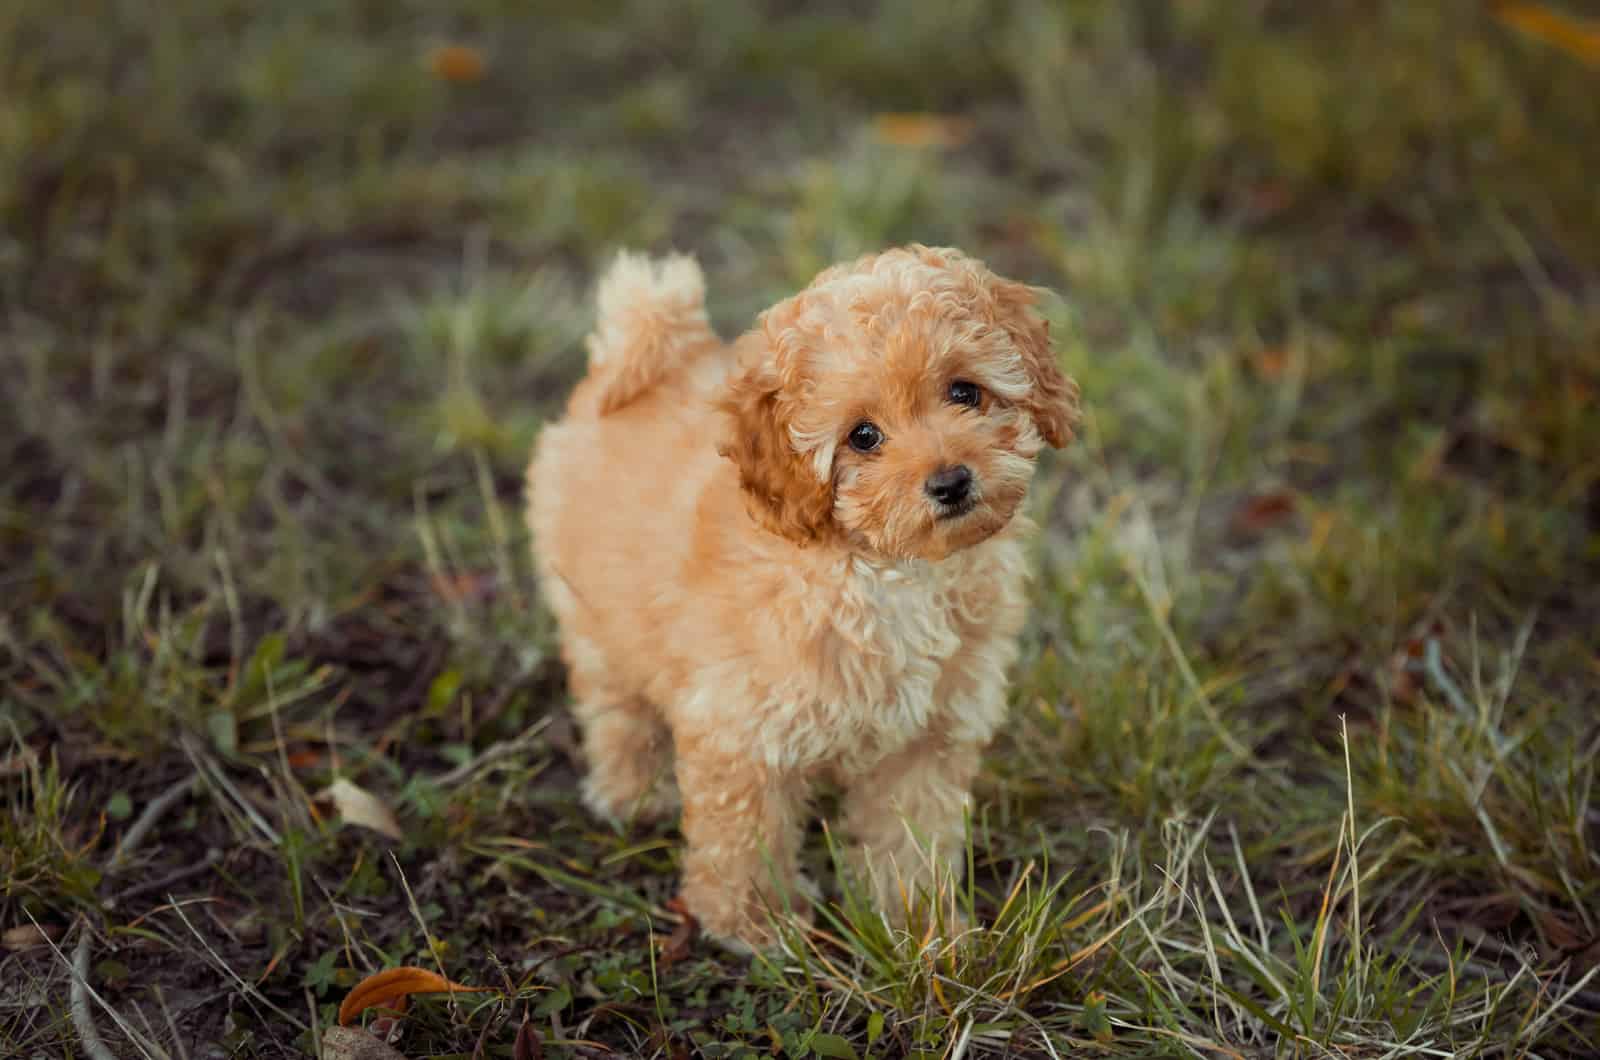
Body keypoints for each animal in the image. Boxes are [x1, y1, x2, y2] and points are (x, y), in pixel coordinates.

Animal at [531, 244, 1081, 947]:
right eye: (863, 436)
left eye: (965, 392)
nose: (951, 482)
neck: (885, 572)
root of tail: (641, 352)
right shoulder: (741, 731)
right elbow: (746, 838)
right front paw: (754, 925)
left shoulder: (927, 736)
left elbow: (909, 837)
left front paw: (920, 927)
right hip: (594, 617)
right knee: (617, 709)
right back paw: (635, 794)